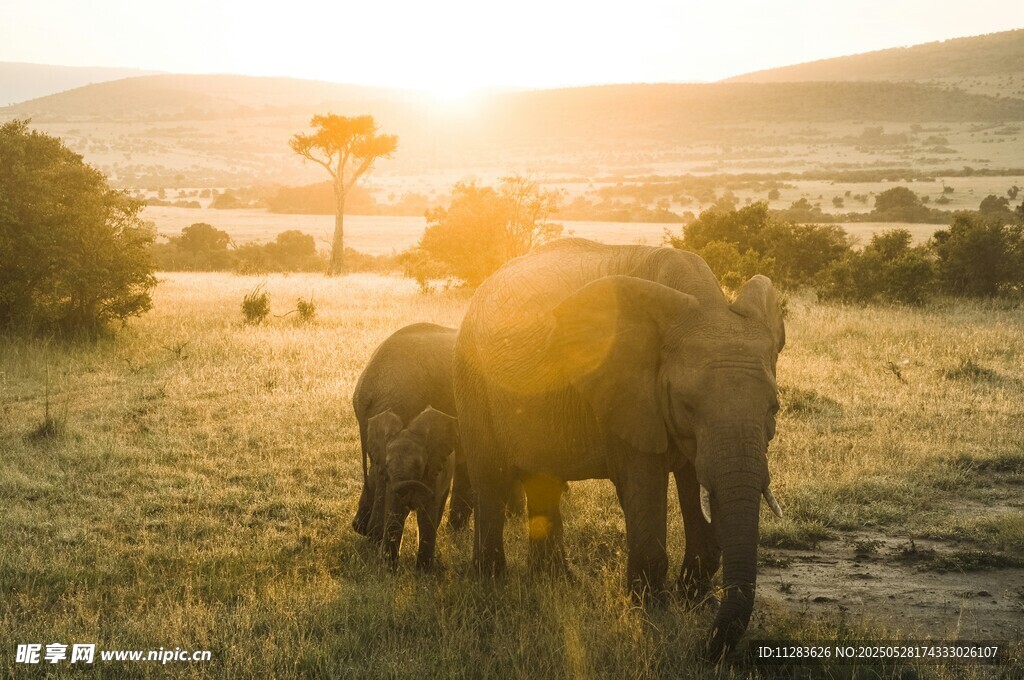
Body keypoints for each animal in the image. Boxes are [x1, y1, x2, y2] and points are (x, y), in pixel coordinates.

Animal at [368, 407, 459, 570]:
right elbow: (395, 511)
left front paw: (423, 571)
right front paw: (388, 568)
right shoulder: (391, 483)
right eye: (387, 465)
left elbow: (425, 517)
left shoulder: (433, 474)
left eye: (418, 466)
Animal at [453, 238, 785, 659]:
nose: (700, 648)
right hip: (472, 379)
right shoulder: (628, 394)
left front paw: (693, 602)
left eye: (773, 408)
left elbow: (694, 485)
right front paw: (653, 613)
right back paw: (492, 581)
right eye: (687, 405)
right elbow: (644, 486)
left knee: (543, 480)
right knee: (491, 479)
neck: (702, 300)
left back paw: (556, 583)